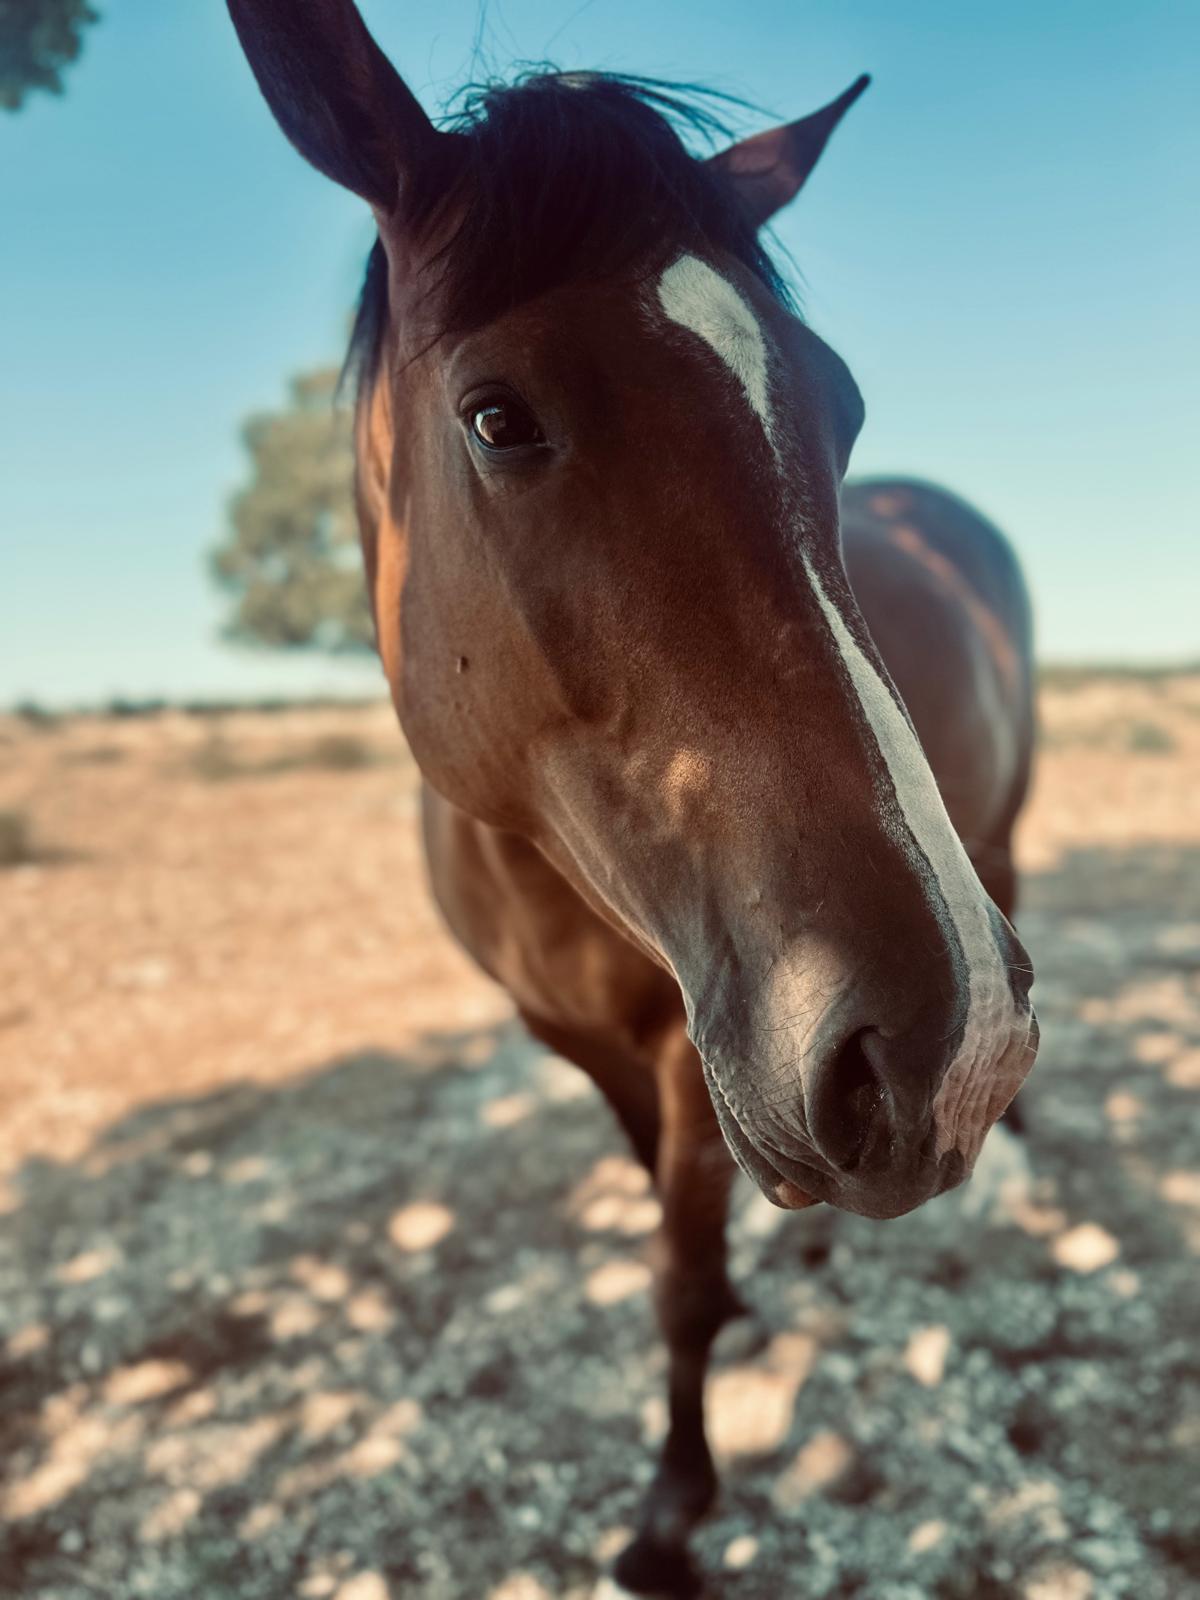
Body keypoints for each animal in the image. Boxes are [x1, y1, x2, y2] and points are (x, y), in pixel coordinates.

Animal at [228, 5, 1039, 1593]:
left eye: (842, 405)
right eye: (497, 417)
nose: (954, 1048)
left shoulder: (692, 1046)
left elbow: (672, 1271)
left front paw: (671, 1508)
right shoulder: (579, 1041)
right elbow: (672, 1237)